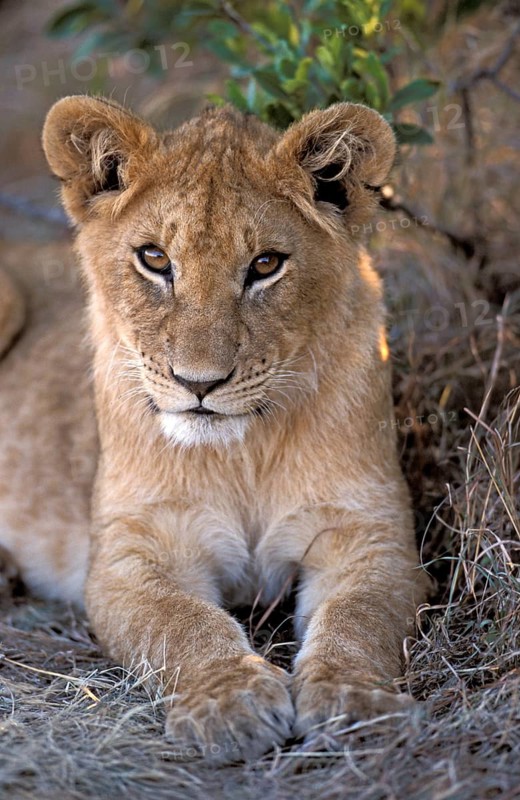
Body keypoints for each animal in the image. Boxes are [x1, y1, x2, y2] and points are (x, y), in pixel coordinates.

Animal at [0, 95, 427, 761]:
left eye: (266, 265)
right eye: (154, 259)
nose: (199, 383)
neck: (241, 454)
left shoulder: (371, 536)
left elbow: (359, 620)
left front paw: (355, 701)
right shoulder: (130, 552)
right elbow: (182, 623)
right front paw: (231, 703)